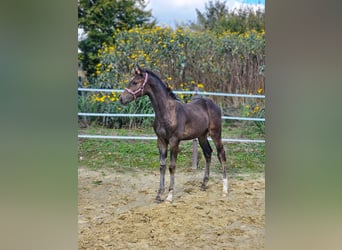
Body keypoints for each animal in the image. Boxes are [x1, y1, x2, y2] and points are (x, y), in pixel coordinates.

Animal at [119, 65, 228, 202]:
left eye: (135, 82)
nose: (121, 99)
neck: (167, 111)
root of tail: (214, 105)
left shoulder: (174, 141)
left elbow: (172, 166)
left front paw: (170, 196)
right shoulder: (161, 140)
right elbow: (162, 166)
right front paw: (159, 195)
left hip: (215, 133)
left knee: (221, 154)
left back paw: (225, 190)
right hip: (201, 135)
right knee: (208, 153)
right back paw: (203, 184)